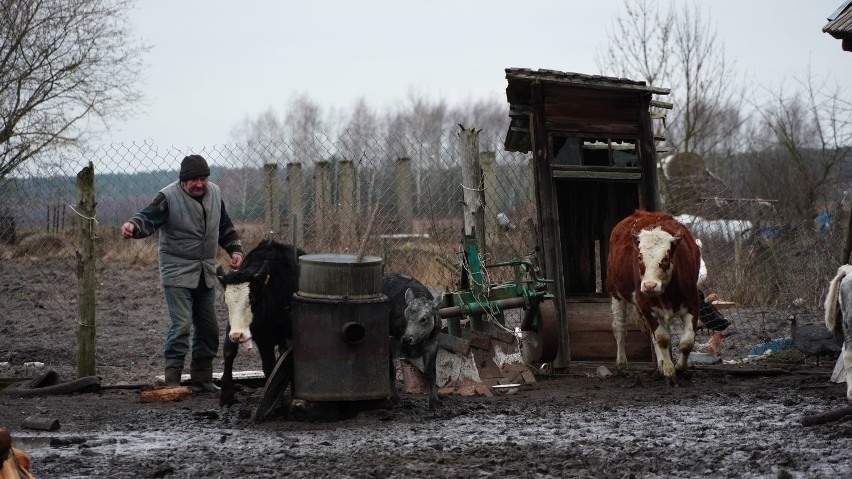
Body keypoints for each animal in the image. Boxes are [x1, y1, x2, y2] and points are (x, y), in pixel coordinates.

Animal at [218, 242, 304, 406]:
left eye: (251, 299)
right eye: (226, 302)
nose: (237, 335)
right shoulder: (256, 336)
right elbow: (229, 351)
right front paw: (226, 394)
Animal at [382, 272, 442, 410]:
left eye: (424, 318)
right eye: (406, 315)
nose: (407, 338)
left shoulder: (433, 343)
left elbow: (430, 373)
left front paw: (434, 401)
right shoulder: (391, 340)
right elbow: (391, 370)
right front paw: (394, 398)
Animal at [608, 208, 704, 384]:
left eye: (665, 258)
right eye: (640, 257)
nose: (649, 285)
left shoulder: (693, 303)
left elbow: (687, 341)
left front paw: (679, 367)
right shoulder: (646, 305)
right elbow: (662, 338)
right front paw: (669, 370)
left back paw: (660, 363)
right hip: (616, 293)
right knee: (619, 326)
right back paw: (622, 364)